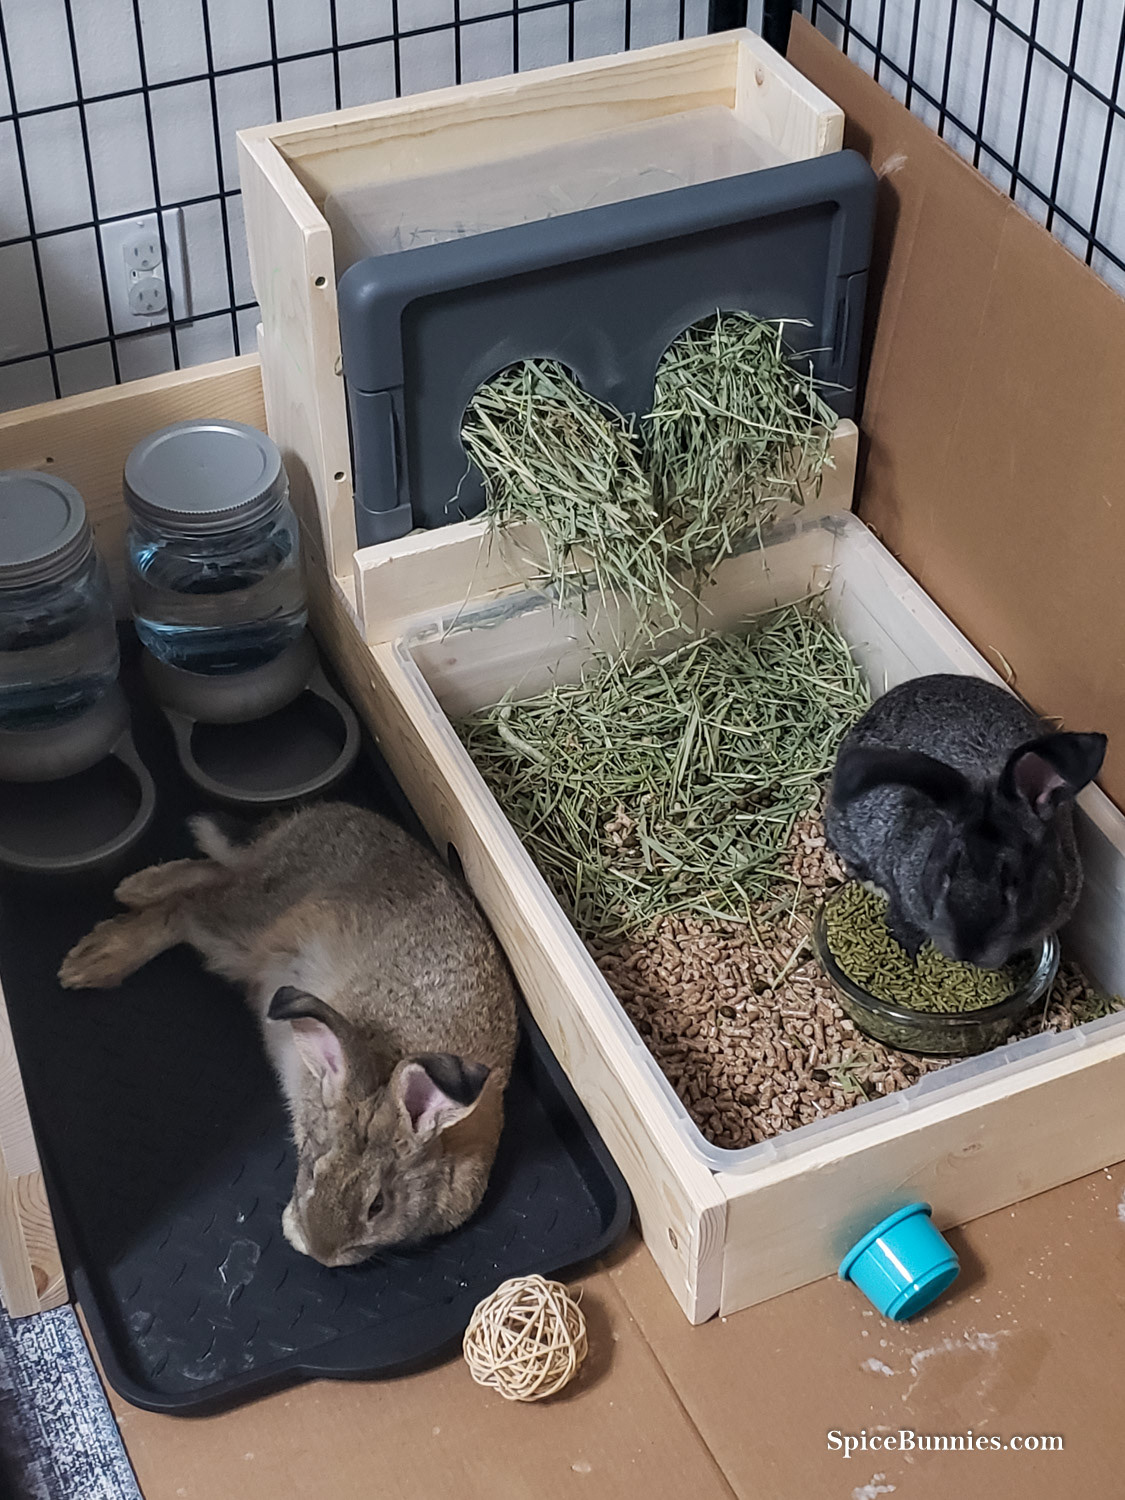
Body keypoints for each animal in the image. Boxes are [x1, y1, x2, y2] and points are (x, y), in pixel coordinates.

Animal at [58, 802, 518, 1268]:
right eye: (313, 1169)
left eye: (377, 1206)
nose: (320, 1253)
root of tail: (308, 819)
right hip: (247, 926)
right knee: (186, 909)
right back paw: (95, 956)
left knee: (209, 877)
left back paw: (135, 888)